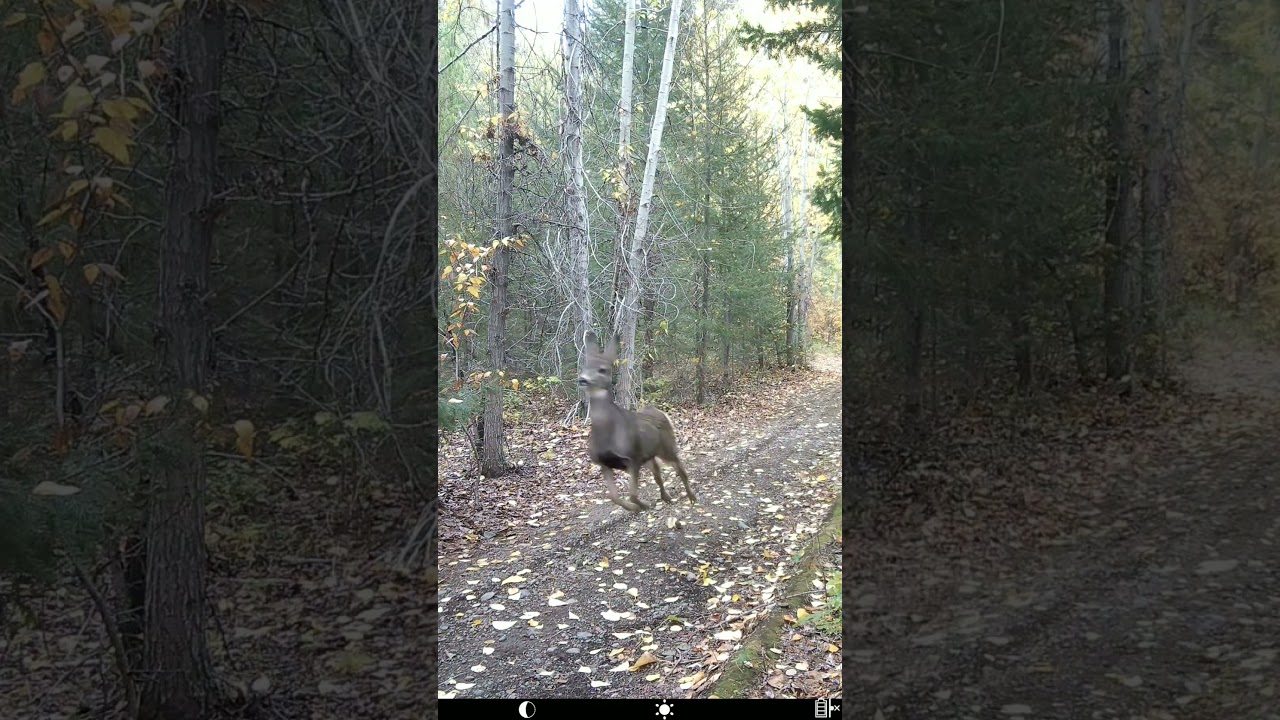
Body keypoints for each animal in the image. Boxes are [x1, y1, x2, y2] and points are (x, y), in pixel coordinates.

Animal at [578, 332, 697, 513]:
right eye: (584, 368)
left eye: (602, 369)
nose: (582, 380)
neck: (607, 433)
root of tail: (660, 412)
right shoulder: (604, 463)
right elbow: (613, 497)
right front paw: (635, 507)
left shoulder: (633, 457)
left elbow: (632, 494)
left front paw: (643, 505)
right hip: (649, 456)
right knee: (658, 474)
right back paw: (667, 498)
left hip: (666, 447)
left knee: (680, 468)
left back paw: (692, 498)